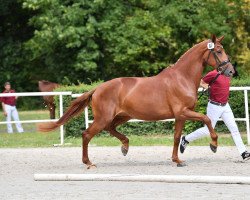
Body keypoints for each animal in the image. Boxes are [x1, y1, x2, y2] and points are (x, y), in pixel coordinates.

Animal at [37, 35, 234, 168]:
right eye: (218, 51)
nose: (231, 71)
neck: (181, 78)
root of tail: (98, 88)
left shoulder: (180, 116)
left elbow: (177, 137)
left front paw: (177, 160)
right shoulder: (183, 112)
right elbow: (207, 119)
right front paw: (213, 144)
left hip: (123, 116)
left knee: (110, 129)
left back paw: (125, 147)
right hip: (104, 118)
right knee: (86, 134)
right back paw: (89, 162)